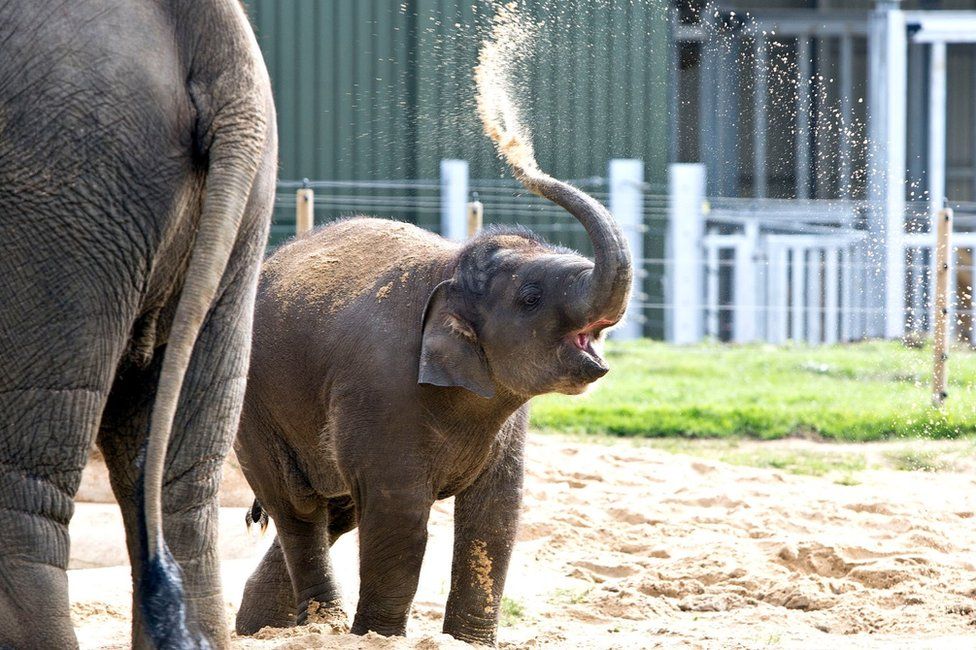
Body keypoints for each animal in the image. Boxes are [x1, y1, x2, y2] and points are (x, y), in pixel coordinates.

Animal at [233, 157, 632, 643]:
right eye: (531, 297)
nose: (523, 165)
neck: (453, 269)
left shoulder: (507, 420)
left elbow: (495, 513)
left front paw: (467, 643)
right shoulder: (382, 391)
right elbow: (399, 514)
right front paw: (380, 639)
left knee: (335, 513)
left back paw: (264, 629)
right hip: (254, 411)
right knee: (300, 508)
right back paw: (323, 622)